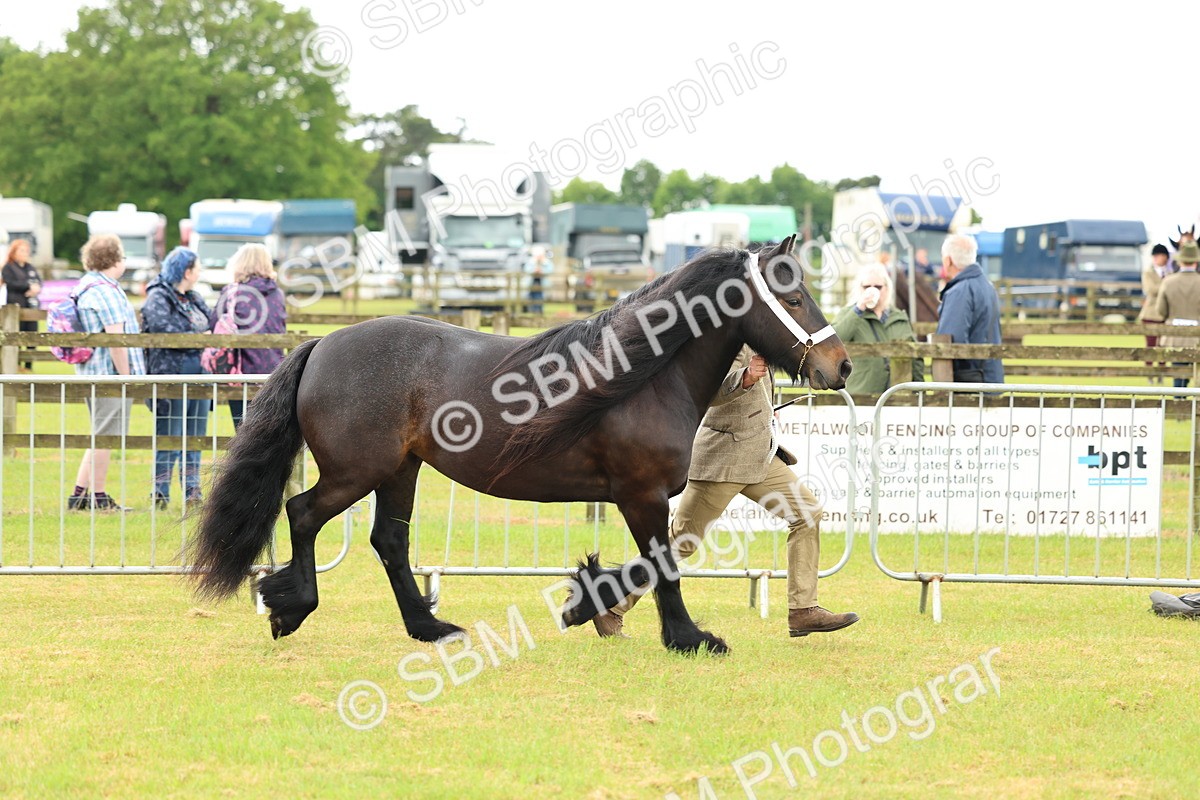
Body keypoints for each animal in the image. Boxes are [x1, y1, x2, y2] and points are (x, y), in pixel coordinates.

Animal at [189, 235, 852, 655]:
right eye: (793, 297)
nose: (840, 367)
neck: (646, 376)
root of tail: (323, 344)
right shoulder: (639, 494)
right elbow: (661, 565)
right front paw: (687, 638)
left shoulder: (644, 498)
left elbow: (653, 563)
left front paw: (590, 603)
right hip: (358, 471)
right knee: (303, 513)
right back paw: (289, 607)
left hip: (400, 469)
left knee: (389, 542)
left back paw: (430, 629)